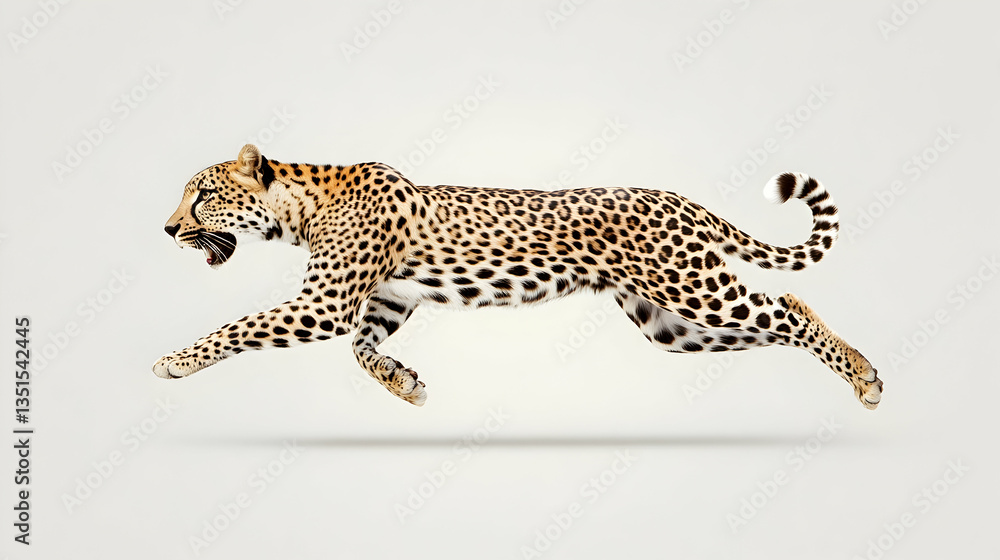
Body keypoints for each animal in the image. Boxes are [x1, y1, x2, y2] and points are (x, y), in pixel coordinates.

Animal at [154, 144, 883, 410]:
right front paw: (403, 383)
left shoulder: (324, 304)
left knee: (784, 305)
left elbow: (239, 327)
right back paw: (857, 369)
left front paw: (174, 361)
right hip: (671, 322)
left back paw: (866, 378)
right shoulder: (387, 300)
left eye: (202, 196)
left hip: (692, 288)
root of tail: (681, 200)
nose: (166, 228)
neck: (300, 208)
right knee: (787, 307)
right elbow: (362, 348)